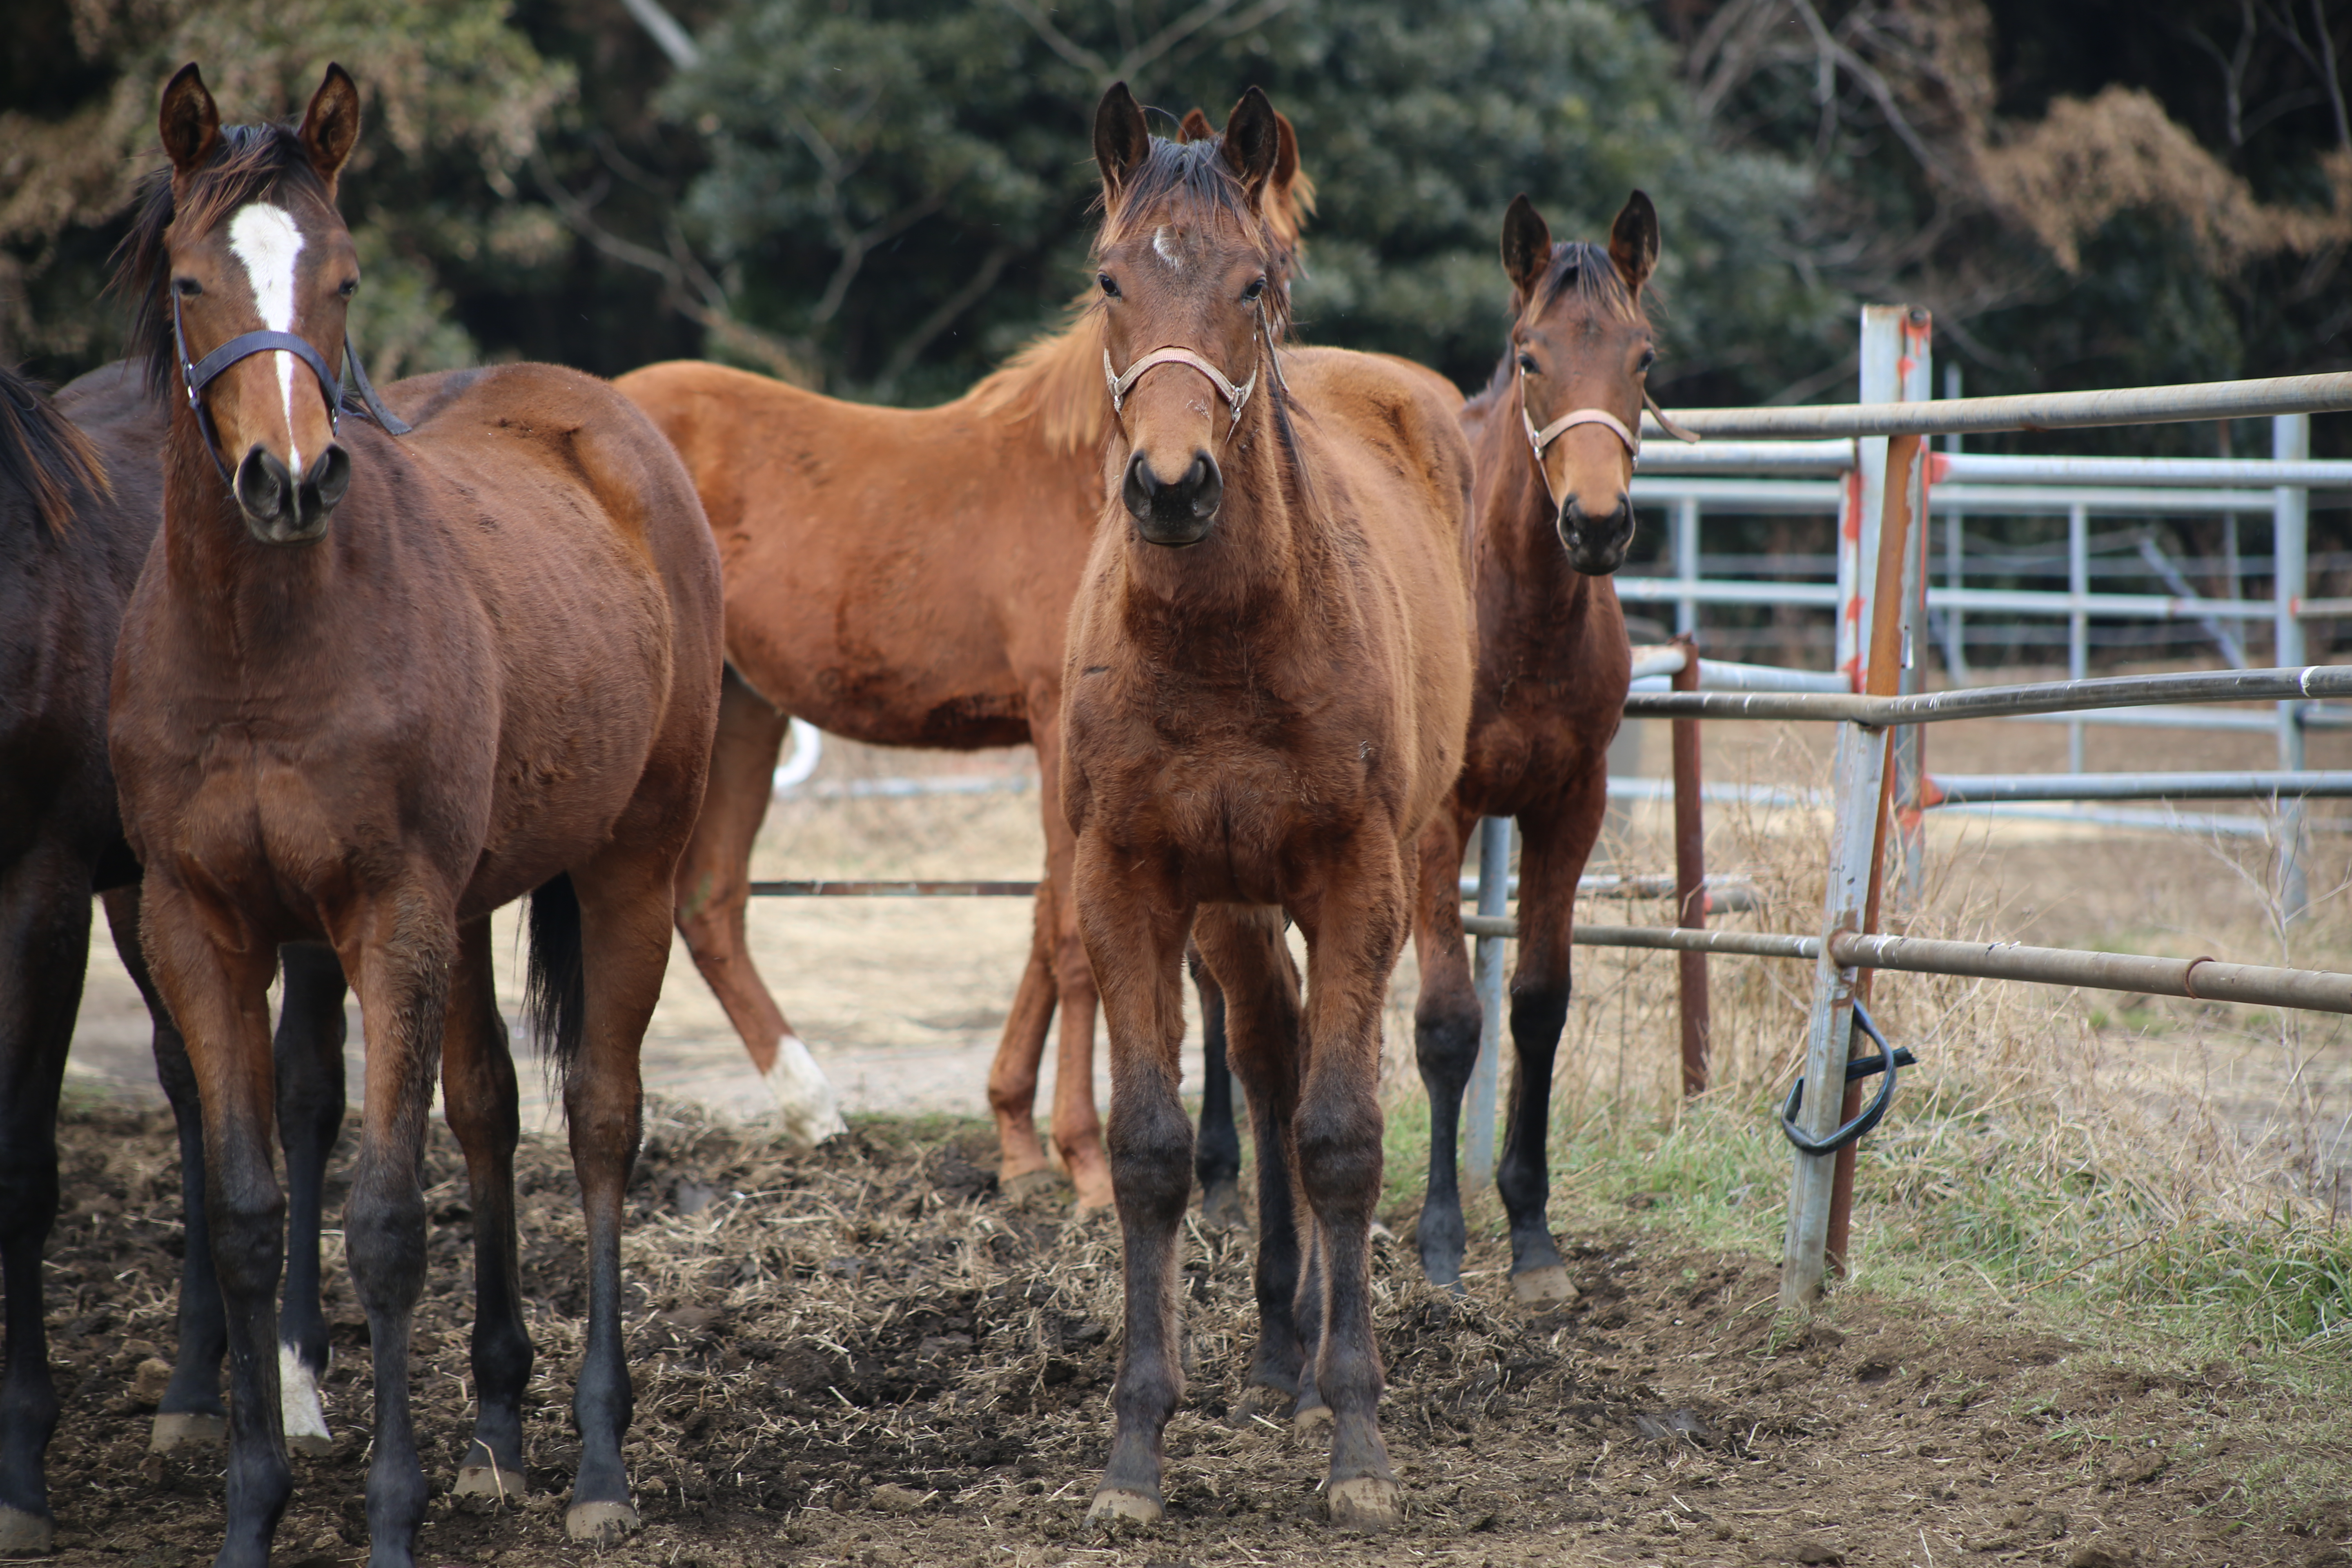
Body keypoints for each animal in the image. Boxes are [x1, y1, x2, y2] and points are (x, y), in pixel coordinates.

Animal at [106, 64, 724, 1568]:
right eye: (192, 278)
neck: (264, 651)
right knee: (492, 1105)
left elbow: (386, 1221)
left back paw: (598, 1462)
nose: (289, 481)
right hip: (478, 897)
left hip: (630, 865)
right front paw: (253, 1508)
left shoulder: (387, 913)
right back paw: (499, 1431)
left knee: (601, 1118)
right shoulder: (199, 923)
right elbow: (251, 1210)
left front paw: (392, 1514)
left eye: (343, 277)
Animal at [616, 116, 1317, 1213]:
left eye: (1265, 275)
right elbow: (1071, 935)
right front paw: (1083, 1160)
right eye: (1113, 279)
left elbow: (1043, 923)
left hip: (742, 707)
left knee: (710, 904)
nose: (1177, 484)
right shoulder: (1056, 728)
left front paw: (1018, 1138)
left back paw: (813, 1110)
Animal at [1068, 86, 1468, 1532]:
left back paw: (1309, 1375)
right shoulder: (1130, 881)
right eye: (1109, 280)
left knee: (1301, 1083)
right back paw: (1275, 1355)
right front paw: (1136, 1452)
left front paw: (1358, 1444)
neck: (1225, 643)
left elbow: (1343, 1140)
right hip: (1234, 909)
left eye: (1253, 285)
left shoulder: (1360, 878)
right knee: (1269, 1050)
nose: (1173, 486)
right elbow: (1151, 1150)